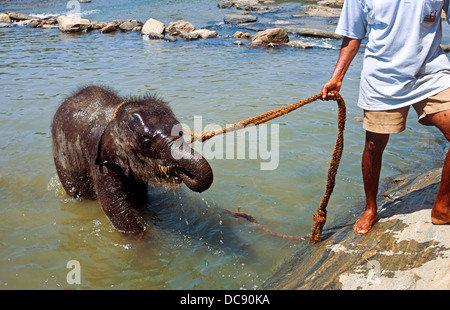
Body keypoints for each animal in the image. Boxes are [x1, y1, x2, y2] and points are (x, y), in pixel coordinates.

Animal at [51, 86, 214, 236]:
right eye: (147, 144)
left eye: (180, 132)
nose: (182, 172)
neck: (116, 120)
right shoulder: (99, 160)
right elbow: (114, 208)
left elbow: (140, 198)